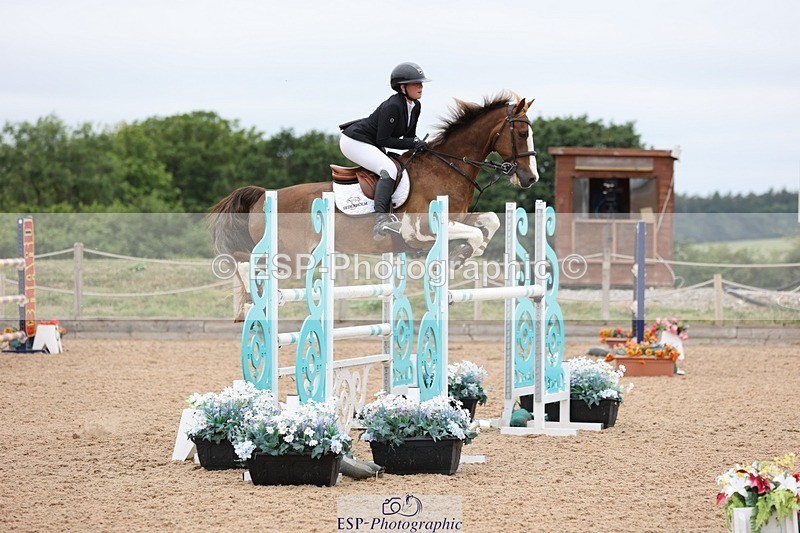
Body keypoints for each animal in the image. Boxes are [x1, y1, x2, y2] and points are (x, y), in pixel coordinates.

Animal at [209, 91, 540, 277]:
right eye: (522, 134)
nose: (530, 178)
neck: (447, 166)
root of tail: (263, 197)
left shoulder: (456, 217)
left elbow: (489, 222)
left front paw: (466, 253)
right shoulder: (420, 230)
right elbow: (473, 231)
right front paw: (460, 255)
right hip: (290, 258)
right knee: (248, 264)